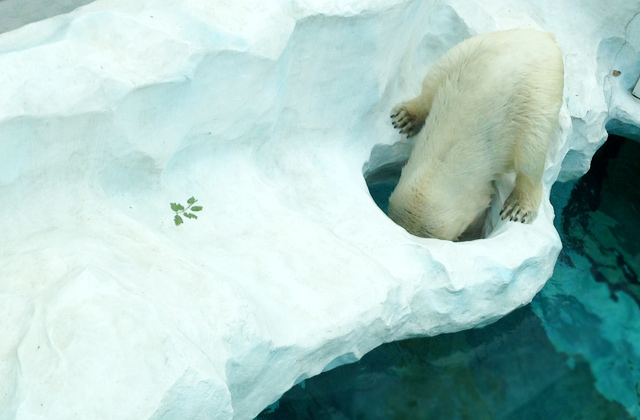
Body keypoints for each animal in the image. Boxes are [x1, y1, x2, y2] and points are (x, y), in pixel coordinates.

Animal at [388, 29, 564, 241]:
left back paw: (518, 207)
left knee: (530, 152)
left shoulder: (475, 195)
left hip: (538, 94)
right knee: (433, 80)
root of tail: (546, 38)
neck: (436, 167)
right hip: (469, 50)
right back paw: (404, 116)